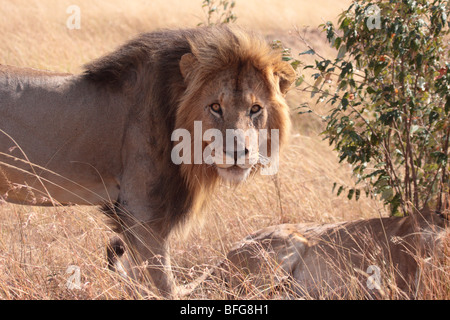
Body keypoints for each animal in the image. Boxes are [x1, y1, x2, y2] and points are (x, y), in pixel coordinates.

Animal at [0, 25, 296, 298]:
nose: (236, 152)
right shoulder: (141, 211)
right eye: (215, 107)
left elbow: (138, 281)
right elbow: (163, 286)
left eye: (255, 109)